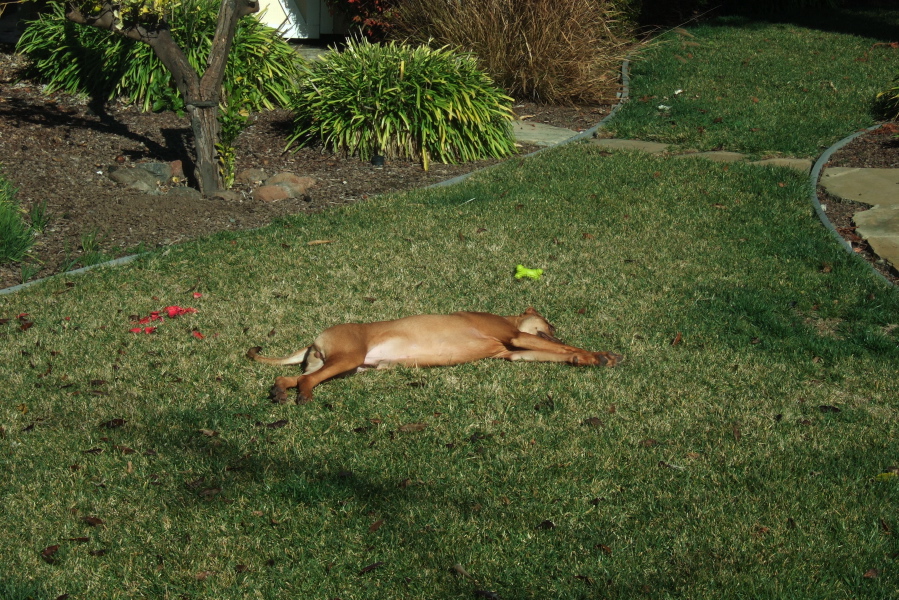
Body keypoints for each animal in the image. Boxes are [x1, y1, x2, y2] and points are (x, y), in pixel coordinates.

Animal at [250, 310, 624, 404]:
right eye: (550, 324)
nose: (557, 331)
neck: (508, 318)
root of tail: (315, 337)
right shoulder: (515, 336)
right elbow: (567, 349)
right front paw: (593, 355)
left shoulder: (514, 353)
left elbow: (554, 355)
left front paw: (589, 358)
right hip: (346, 358)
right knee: (308, 380)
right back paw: (303, 396)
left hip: (344, 367)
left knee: (291, 375)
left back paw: (280, 391)